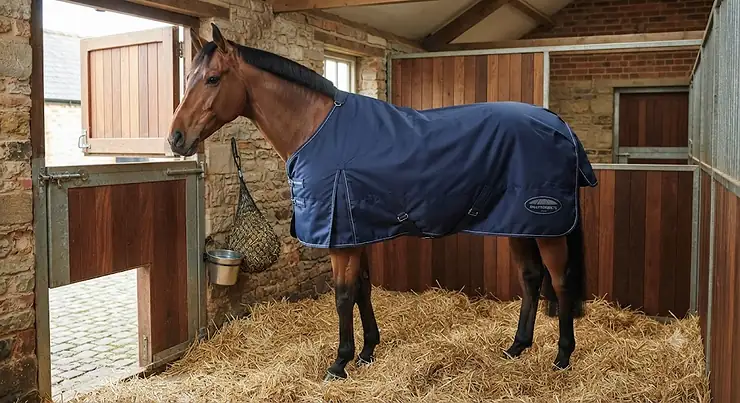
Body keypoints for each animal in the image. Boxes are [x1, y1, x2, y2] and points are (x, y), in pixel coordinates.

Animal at [168, 23, 598, 382]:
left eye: (212, 78)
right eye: (188, 78)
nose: (175, 138)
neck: (317, 128)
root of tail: (558, 123)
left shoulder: (340, 237)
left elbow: (343, 296)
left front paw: (340, 362)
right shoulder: (356, 230)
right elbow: (362, 289)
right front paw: (367, 351)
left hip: (546, 226)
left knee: (560, 282)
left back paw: (562, 357)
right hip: (517, 225)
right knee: (531, 278)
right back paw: (516, 347)